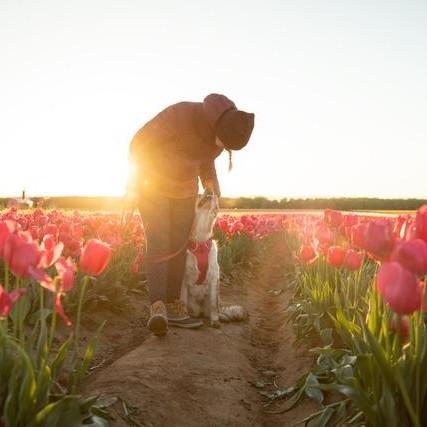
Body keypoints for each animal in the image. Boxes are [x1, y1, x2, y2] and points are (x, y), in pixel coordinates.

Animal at [181, 193, 247, 328]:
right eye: (199, 195)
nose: (210, 193)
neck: (200, 241)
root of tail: (200, 310)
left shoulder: (213, 276)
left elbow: (213, 306)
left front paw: (215, 321)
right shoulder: (184, 277)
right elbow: (183, 301)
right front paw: (185, 317)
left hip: (217, 296)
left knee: (216, 308)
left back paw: (222, 316)